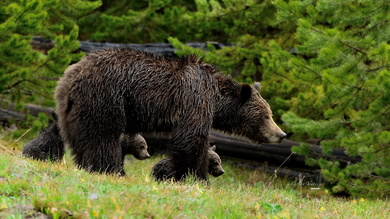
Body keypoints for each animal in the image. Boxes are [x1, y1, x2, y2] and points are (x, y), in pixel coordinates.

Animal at [54, 48, 286, 181]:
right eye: (266, 116)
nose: (281, 134)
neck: (216, 99)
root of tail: (73, 75)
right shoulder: (195, 99)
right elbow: (191, 139)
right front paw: (192, 176)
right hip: (105, 97)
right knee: (103, 136)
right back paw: (110, 169)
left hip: (73, 109)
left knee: (79, 137)